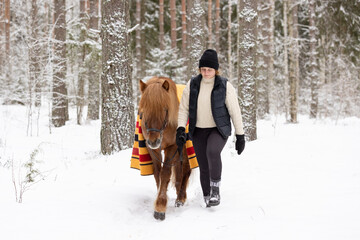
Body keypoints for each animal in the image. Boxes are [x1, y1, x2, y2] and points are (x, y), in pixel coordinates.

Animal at [139, 76, 193, 219]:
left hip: (185, 149)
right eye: (144, 110)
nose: (154, 140)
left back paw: (181, 198)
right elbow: (158, 174)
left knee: (186, 170)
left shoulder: (172, 146)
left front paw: (160, 206)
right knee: (179, 172)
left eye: (164, 109)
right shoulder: (153, 149)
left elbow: (165, 173)